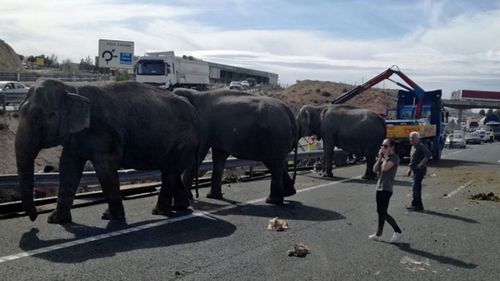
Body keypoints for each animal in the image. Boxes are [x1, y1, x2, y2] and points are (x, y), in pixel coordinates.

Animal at [15, 79, 199, 223]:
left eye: (44, 116)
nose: (34, 217)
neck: (72, 89)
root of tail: (192, 108)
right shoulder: (76, 136)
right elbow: (68, 168)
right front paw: (55, 220)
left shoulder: (103, 132)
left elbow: (104, 168)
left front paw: (111, 217)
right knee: (171, 171)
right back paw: (180, 207)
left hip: (183, 141)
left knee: (169, 172)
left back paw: (159, 211)